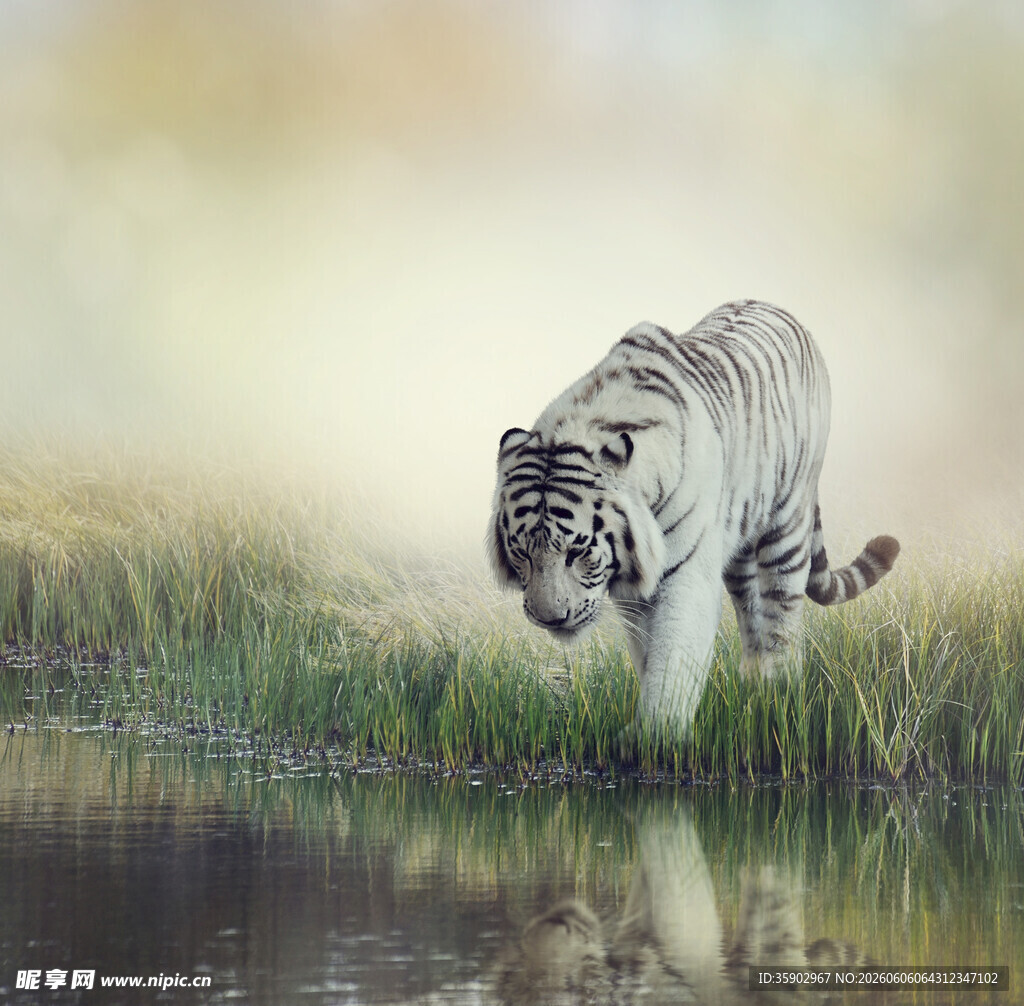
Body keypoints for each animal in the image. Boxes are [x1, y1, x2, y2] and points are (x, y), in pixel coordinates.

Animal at [488, 299, 899, 739]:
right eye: (521, 554)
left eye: (578, 552)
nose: (549, 618)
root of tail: (777, 308)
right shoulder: (635, 593)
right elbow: (649, 653)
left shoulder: (686, 575)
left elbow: (673, 655)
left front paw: (656, 736)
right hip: (738, 544)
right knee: (751, 612)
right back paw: (753, 685)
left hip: (788, 523)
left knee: (782, 613)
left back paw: (779, 690)